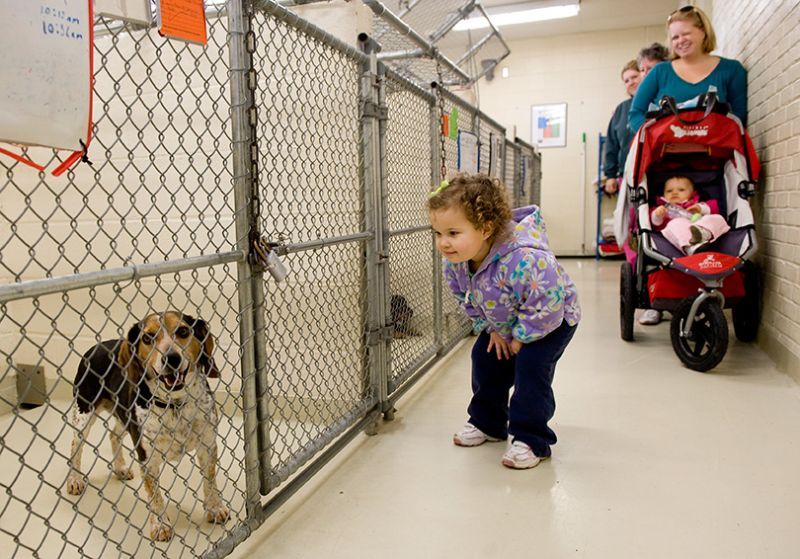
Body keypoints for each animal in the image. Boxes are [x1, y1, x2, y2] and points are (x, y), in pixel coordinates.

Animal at [66, 312, 230, 540]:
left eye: (183, 331)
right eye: (147, 338)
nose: (171, 358)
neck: (175, 404)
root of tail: (96, 346)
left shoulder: (208, 445)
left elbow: (210, 480)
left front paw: (215, 508)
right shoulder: (147, 458)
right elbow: (155, 495)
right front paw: (161, 525)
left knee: (113, 435)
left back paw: (120, 468)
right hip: (84, 412)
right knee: (75, 446)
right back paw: (74, 479)